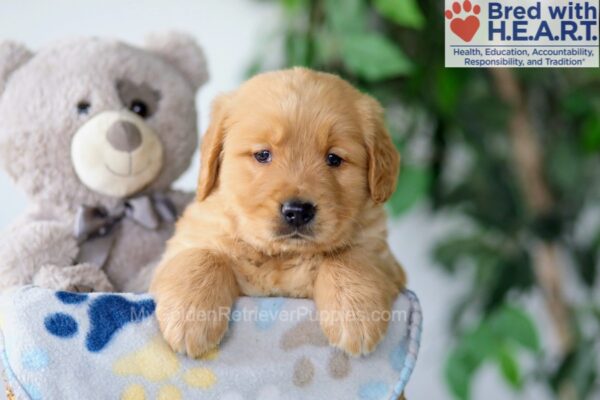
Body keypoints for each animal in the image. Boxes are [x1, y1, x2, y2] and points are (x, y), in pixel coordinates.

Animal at [150, 67, 406, 358]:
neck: (281, 256)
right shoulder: (185, 243)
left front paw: (355, 315)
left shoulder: (384, 257)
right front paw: (190, 317)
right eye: (263, 154)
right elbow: (201, 256)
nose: (297, 211)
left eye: (334, 159)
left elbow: (350, 256)